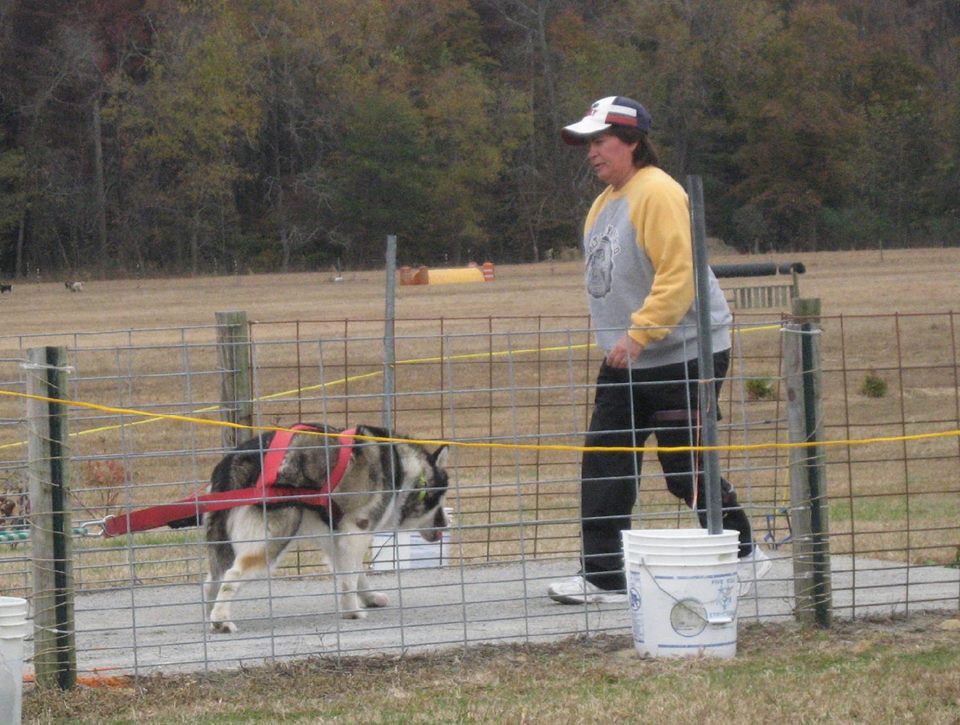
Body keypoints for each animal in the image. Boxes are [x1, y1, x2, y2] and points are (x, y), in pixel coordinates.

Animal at [203, 422, 450, 632]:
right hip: (273, 539)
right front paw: (352, 611)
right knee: (232, 575)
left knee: (213, 580)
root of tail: (236, 462)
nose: (446, 525)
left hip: (222, 541)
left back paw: (211, 615)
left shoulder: (336, 537)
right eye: (440, 501)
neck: (405, 472)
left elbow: (355, 573)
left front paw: (369, 598)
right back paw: (221, 620)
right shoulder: (357, 532)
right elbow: (349, 579)